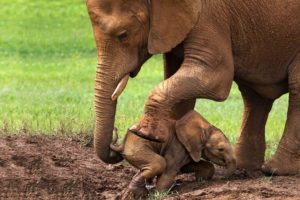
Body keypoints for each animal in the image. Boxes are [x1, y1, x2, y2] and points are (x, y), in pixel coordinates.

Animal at [86, 0, 300, 175]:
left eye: (123, 35)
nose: (115, 143)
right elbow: (178, 83)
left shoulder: (209, 16)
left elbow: (214, 77)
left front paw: (142, 133)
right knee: (253, 96)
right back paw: (244, 167)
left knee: (294, 88)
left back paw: (275, 170)